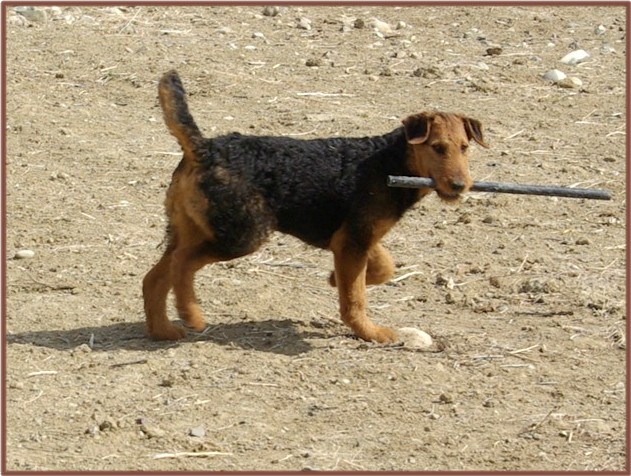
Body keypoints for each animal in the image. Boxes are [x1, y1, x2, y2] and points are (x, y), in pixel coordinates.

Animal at [142, 70, 488, 344]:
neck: (387, 161)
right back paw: (192, 315)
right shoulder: (352, 241)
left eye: (464, 147)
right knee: (182, 264)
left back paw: (163, 330)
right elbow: (355, 299)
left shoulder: (355, 237)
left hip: (193, 228)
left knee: (155, 278)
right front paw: (371, 333)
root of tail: (204, 148)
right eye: (437, 147)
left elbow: (382, 267)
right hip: (243, 234)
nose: (460, 185)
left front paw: (335, 279)